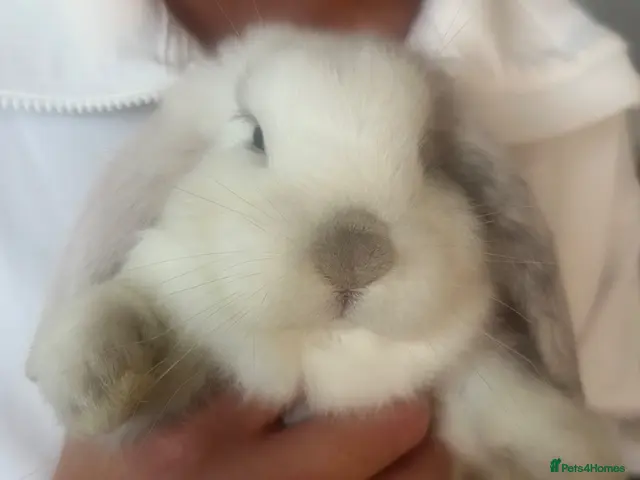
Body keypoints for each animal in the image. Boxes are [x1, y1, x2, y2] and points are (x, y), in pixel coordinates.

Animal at [26, 24, 626, 479]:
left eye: (429, 157)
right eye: (255, 138)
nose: (354, 252)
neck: (322, 361)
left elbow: (522, 419)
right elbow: (124, 312)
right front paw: (95, 381)